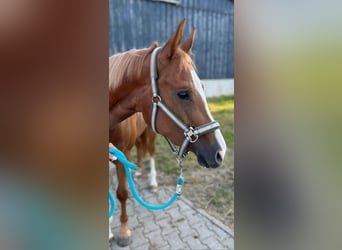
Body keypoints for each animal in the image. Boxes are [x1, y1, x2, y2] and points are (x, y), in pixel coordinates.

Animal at [109, 18, 227, 245]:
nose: (221, 152)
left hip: (151, 134)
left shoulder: (121, 153)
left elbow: (122, 193)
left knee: (151, 153)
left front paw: (124, 232)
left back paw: (152, 182)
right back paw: (137, 171)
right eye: (183, 93)